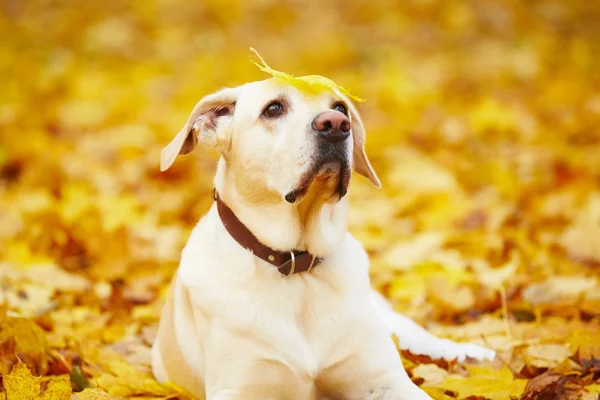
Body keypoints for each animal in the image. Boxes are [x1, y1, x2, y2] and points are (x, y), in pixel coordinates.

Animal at [152, 79, 494, 400]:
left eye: (340, 107)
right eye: (273, 109)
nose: (335, 124)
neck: (296, 263)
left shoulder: (384, 379)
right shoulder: (238, 388)